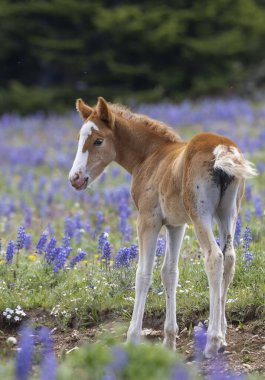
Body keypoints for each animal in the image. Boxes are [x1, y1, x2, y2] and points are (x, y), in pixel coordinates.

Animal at [68, 96, 256, 358]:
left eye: (98, 140)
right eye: (79, 139)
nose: (75, 178)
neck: (150, 157)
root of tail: (222, 149)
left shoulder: (148, 220)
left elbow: (143, 275)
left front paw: (132, 338)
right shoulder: (176, 225)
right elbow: (169, 273)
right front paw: (169, 341)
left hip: (201, 215)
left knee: (214, 258)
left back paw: (212, 341)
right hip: (227, 213)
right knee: (229, 258)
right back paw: (223, 337)